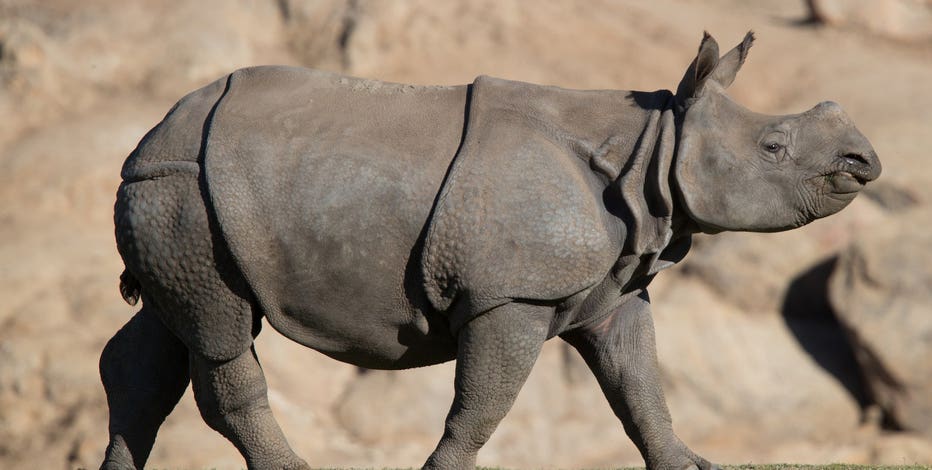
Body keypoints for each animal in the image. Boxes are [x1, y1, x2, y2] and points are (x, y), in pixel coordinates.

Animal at [100, 32, 880, 470]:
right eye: (773, 148)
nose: (863, 162)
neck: (653, 151)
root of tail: (149, 135)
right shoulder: (509, 294)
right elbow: (484, 401)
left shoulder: (617, 288)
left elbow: (640, 388)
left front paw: (689, 465)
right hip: (186, 187)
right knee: (221, 331)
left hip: (179, 191)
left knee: (167, 334)